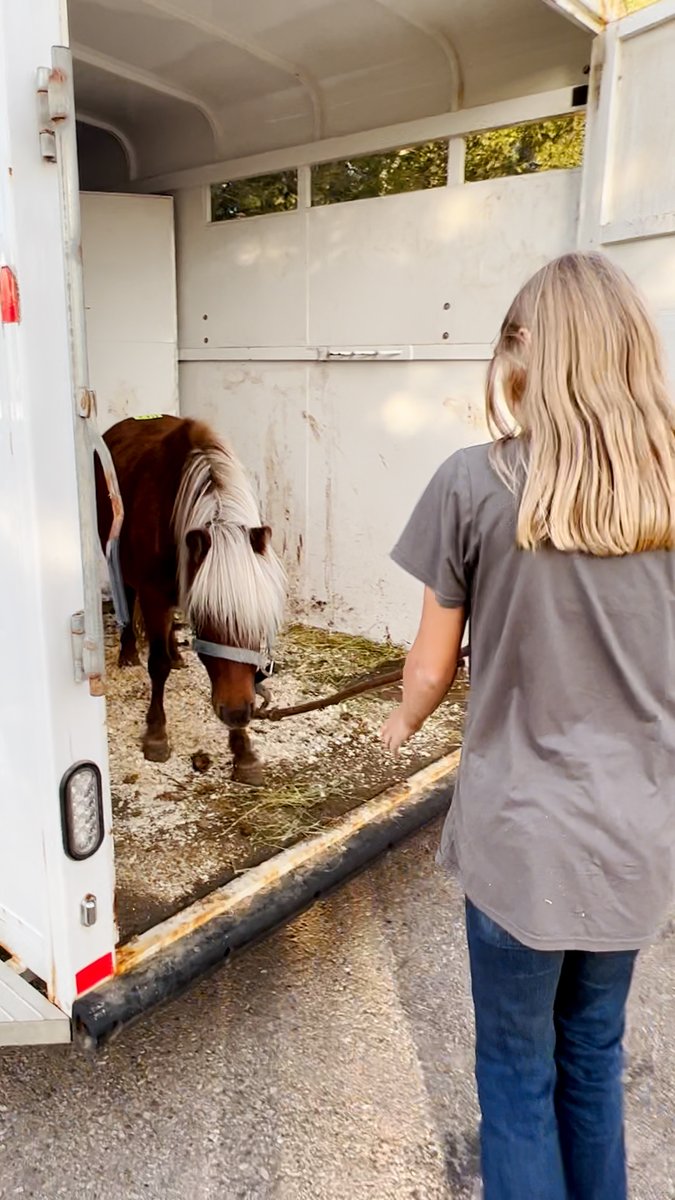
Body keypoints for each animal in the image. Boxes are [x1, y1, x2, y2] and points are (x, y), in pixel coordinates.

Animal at [95, 415, 286, 784]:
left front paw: (243, 750)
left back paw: (175, 652)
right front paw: (156, 735)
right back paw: (128, 652)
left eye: (258, 624)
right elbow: (157, 666)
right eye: (207, 618)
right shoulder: (153, 593)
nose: (237, 713)